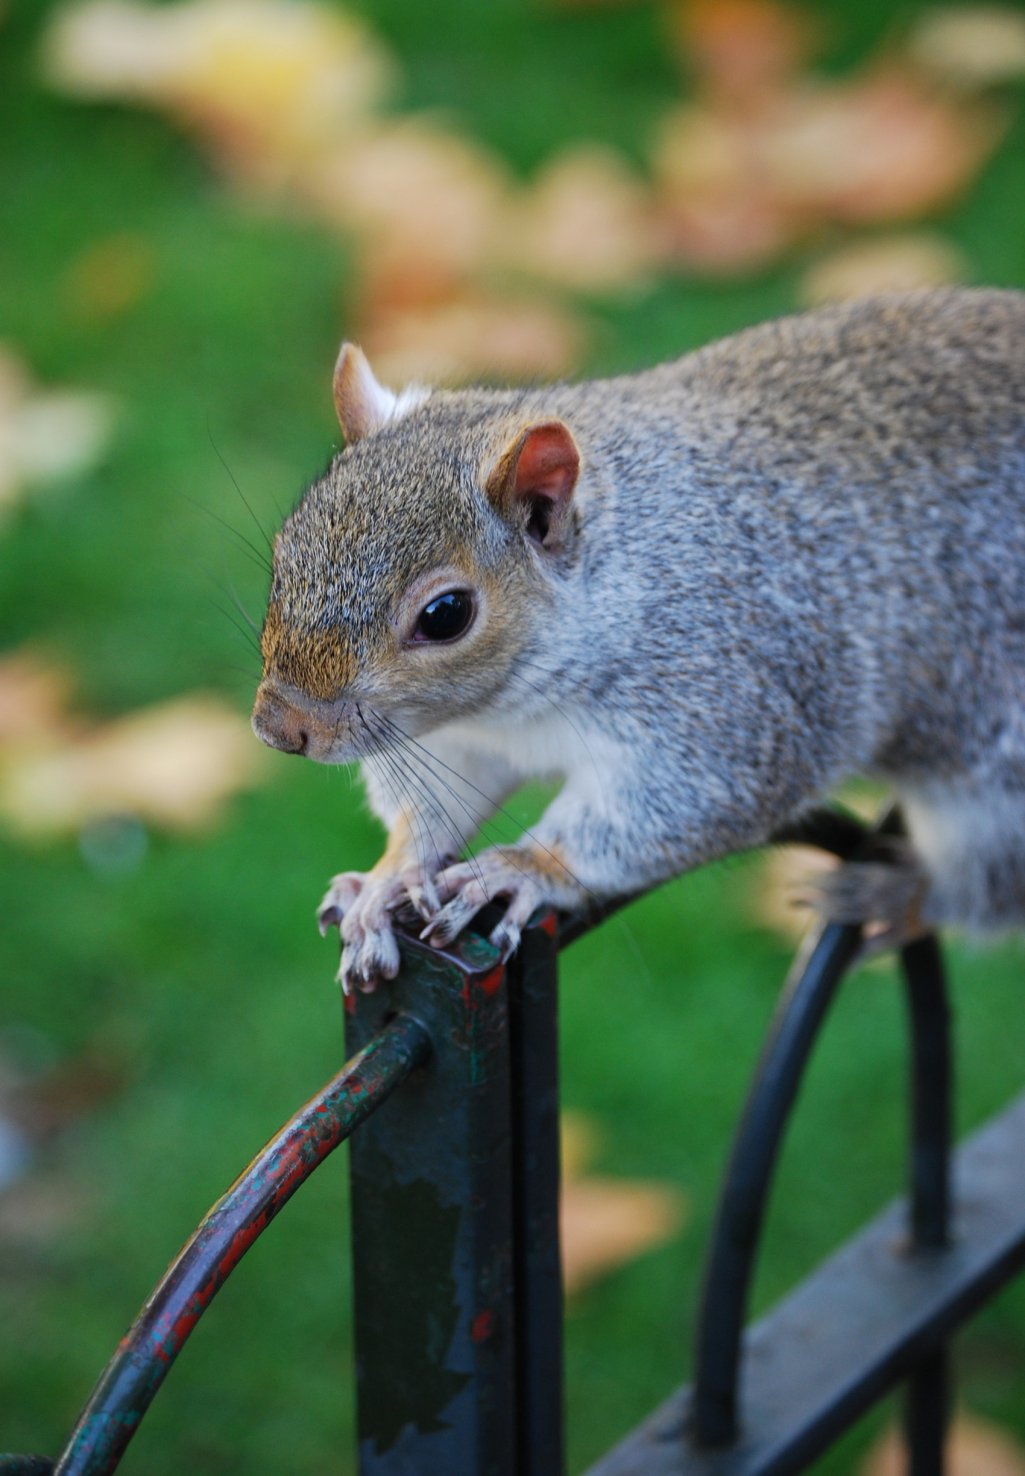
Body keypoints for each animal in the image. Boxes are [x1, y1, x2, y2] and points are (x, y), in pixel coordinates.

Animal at [251, 286, 1025, 991]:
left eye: (445, 614)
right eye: (286, 551)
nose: (279, 728)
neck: (511, 706)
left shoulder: (732, 693)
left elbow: (677, 804)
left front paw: (520, 869)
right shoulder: (457, 742)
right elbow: (433, 808)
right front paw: (389, 877)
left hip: (992, 781)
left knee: (987, 882)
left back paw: (899, 894)